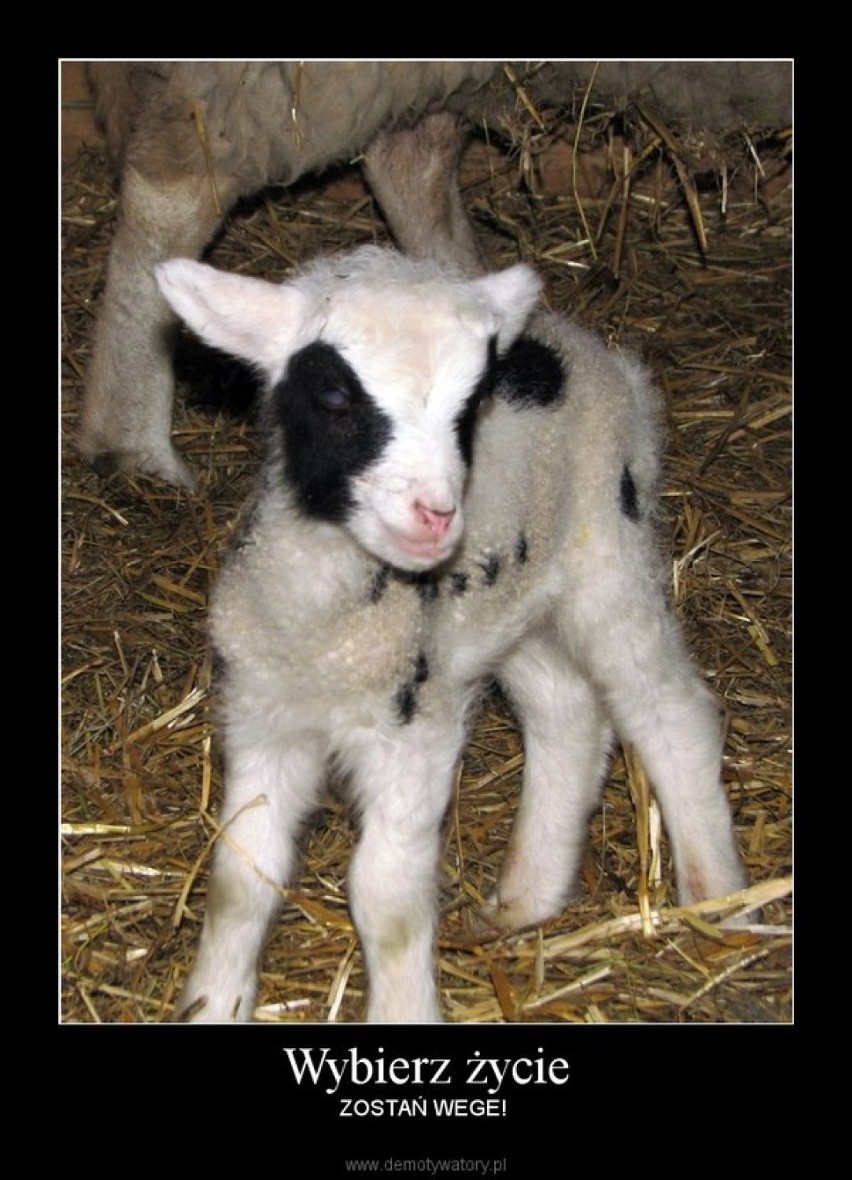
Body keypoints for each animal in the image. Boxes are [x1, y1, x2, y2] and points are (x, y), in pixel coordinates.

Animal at [154, 241, 745, 1024]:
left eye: (470, 407)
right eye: (335, 395)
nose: (437, 515)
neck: (328, 639)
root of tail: (600, 354)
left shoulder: (415, 734)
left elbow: (386, 899)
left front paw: (403, 1010)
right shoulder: (264, 719)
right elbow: (238, 879)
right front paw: (213, 1001)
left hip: (609, 548)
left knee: (668, 707)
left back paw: (718, 897)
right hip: (512, 604)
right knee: (567, 712)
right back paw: (525, 897)